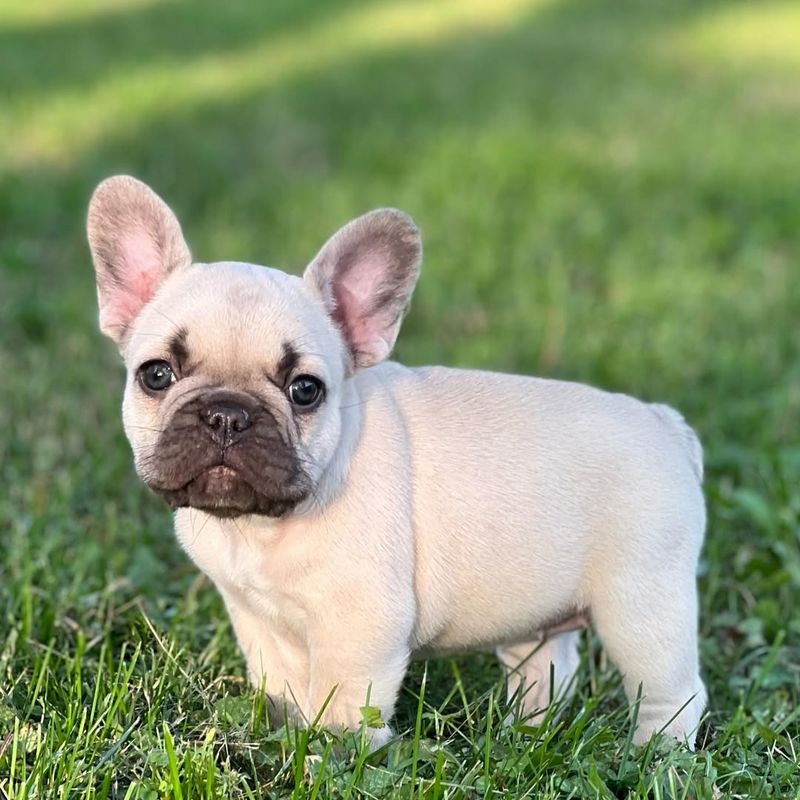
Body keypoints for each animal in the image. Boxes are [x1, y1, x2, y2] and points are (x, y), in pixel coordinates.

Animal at [89, 173, 708, 752]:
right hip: (539, 607)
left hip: (640, 604)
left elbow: (339, 708)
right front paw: (280, 740)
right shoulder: (258, 620)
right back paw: (524, 734)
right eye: (157, 375)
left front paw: (327, 760)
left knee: (674, 691)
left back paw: (657, 756)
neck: (261, 528)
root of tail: (665, 424)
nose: (226, 414)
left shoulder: (359, 626)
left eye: (305, 389)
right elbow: (282, 691)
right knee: (548, 669)